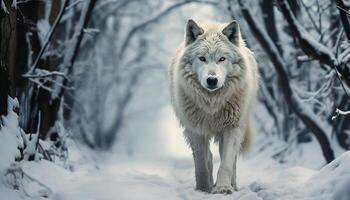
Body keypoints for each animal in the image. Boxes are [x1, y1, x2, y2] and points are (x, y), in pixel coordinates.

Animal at [168, 19, 258, 194]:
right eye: (202, 58)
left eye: (222, 59)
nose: (212, 80)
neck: (212, 103)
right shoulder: (195, 130)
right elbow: (201, 163)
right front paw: (203, 189)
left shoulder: (231, 128)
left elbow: (226, 163)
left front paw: (223, 188)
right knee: (208, 156)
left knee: (231, 160)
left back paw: (233, 185)